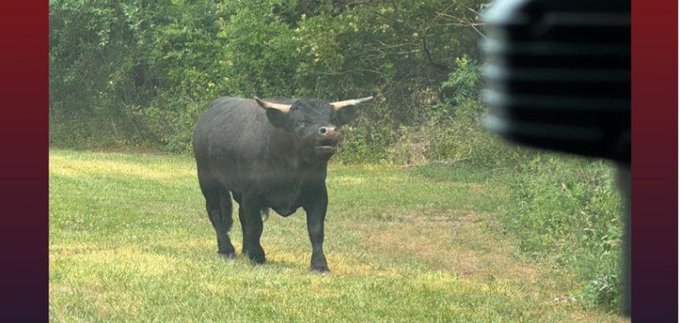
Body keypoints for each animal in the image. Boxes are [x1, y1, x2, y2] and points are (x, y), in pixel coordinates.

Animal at [190, 95, 372, 272]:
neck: (291, 169)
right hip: (208, 181)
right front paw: (258, 256)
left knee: (241, 216)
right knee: (216, 213)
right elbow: (256, 225)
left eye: (333, 119)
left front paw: (319, 264)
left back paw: (246, 249)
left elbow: (316, 230)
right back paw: (226, 250)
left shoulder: (319, 194)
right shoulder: (252, 194)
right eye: (300, 122)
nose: (329, 131)